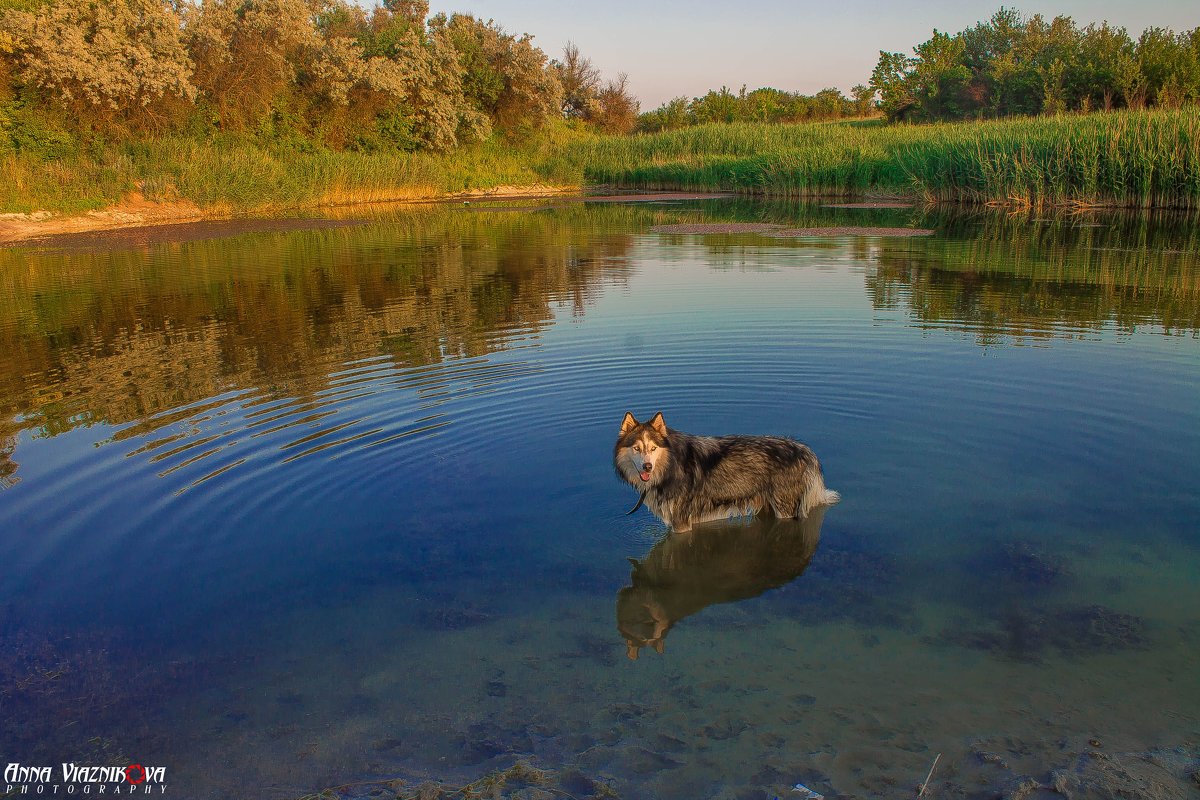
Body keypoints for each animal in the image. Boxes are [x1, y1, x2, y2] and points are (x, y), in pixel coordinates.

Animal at [614, 412, 840, 532]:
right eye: (637, 448)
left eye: (653, 448)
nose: (647, 467)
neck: (670, 466)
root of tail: (802, 448)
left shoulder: (681, 524)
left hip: (785, 509)